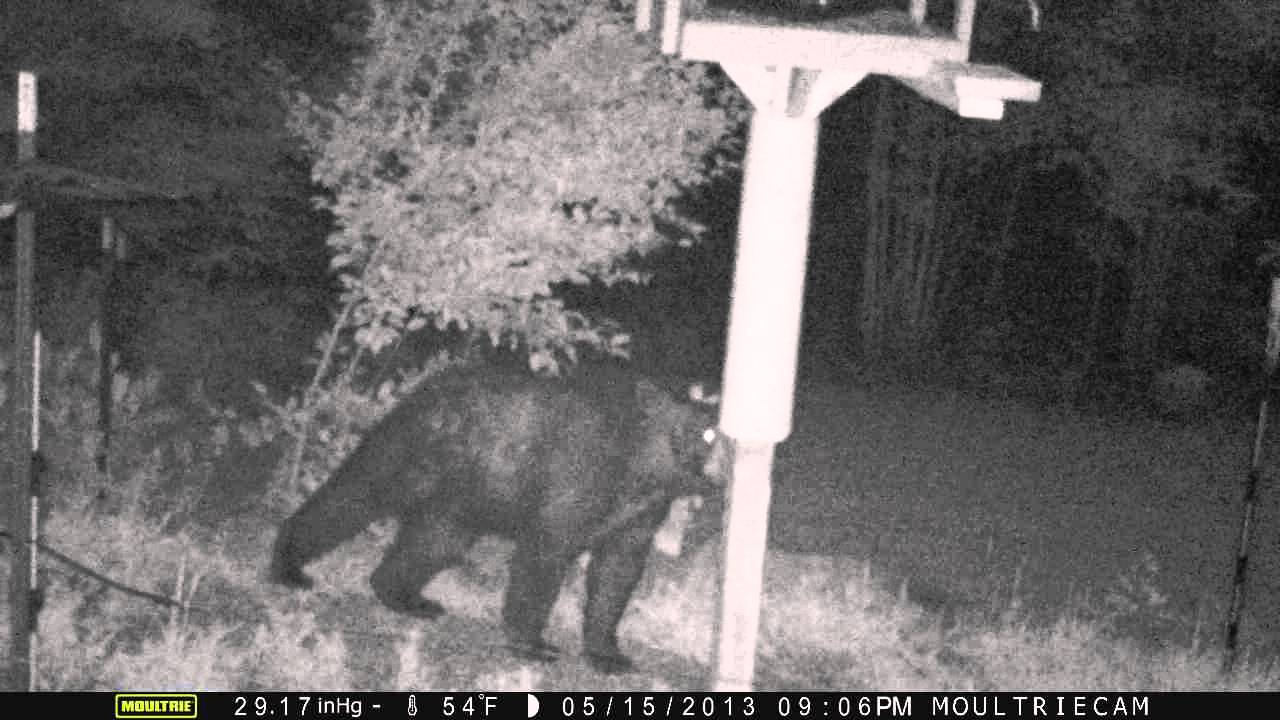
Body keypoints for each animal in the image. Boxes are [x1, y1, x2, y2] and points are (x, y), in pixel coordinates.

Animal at [269, 362, 726, 674]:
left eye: (720, 435)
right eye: (704, 432)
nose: (719, 468)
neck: (643, 467)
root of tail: (420, 391)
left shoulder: (640, 513)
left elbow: (617, 572)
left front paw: (608, 654)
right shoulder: (578, 476)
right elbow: (544, 555)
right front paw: (534, 644)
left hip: (459, 499)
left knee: (433, 541)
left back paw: (408, 598)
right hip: (412, 451)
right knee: (355, 495)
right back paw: (289, 565)